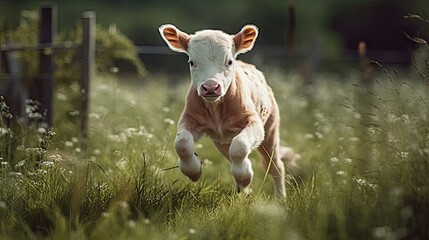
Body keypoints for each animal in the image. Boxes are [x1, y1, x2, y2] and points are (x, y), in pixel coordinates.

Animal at [157, 24, 298, 197]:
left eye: (229, 62)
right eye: (192, 62)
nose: (210, 87)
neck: (217, 108)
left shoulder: (254, 122)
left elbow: (240, 147)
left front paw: (245, 176)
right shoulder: (189, 119)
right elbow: (182, 144)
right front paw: (194, 171)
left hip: (270, 129)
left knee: (274, 165)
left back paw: (280, 197)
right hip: (222, 141)